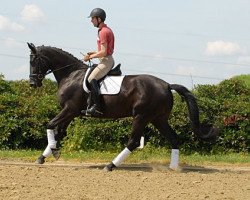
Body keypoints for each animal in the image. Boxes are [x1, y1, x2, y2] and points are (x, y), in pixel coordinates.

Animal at [28, 43, 218, 171]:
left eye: (34, 61)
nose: (32, 84)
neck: (71, 75)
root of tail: (166, 85)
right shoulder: (70, 113)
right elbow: (59, 132)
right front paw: (44, 156)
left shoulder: (70, 109)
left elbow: (51, 125)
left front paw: (53, 150)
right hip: (158, 119)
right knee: (173, 138)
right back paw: (173, 168)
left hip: (142, 116)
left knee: (133, 141)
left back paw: (110, 165)